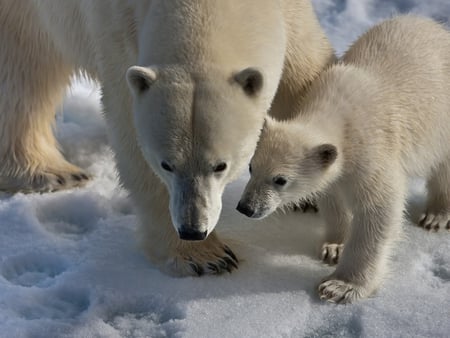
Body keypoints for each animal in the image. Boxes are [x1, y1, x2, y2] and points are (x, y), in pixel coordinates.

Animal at [0, 0, 334, 276]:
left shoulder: (291, 11)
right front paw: (205, 256)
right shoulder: (117, 32)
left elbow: (302, 75)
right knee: (23, 65)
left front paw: (312, 191)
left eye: (221, 166)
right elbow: (130, 130)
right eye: (166, 165)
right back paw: (49, 171)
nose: (192, 229)